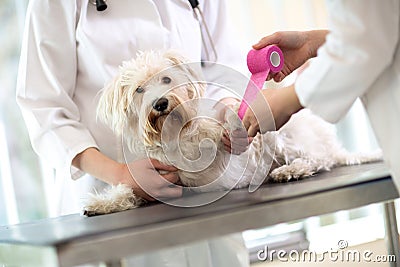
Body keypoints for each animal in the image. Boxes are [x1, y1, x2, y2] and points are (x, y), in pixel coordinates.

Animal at [83, 49, 378, 215]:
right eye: (139, 90)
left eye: (166, 79)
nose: (161, 103)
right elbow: (128, 191)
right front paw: (102, 203)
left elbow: (214, 128)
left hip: (286, 138)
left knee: (319, 160)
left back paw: (290, 170)